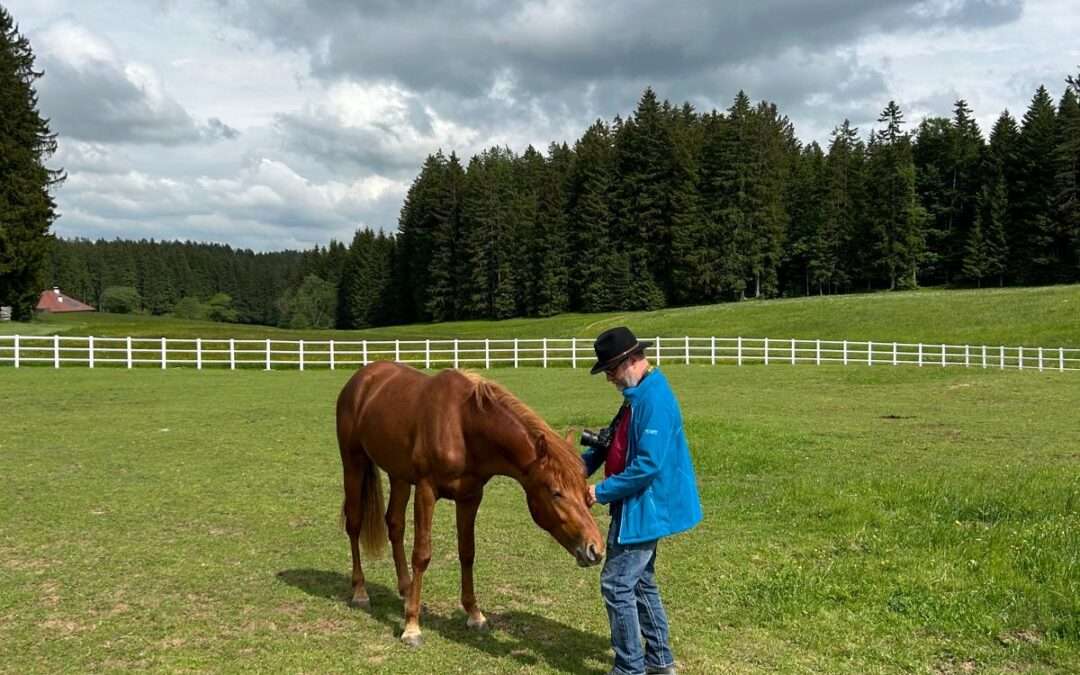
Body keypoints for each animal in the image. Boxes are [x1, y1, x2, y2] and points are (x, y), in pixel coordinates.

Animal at [334, 360, 609, 643]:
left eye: (584, 491)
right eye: (556, 492)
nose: (595, 549)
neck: (462, 425)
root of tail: (363, 377)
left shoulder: (470, 497)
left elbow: (467, 552)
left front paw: (474, 614)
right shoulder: (426, 491)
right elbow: (421, 554)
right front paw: (412, 626)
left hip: (398, 475)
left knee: (395, 524)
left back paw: (407, 590)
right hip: (353, 462)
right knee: (354, 524)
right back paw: (360, 591)